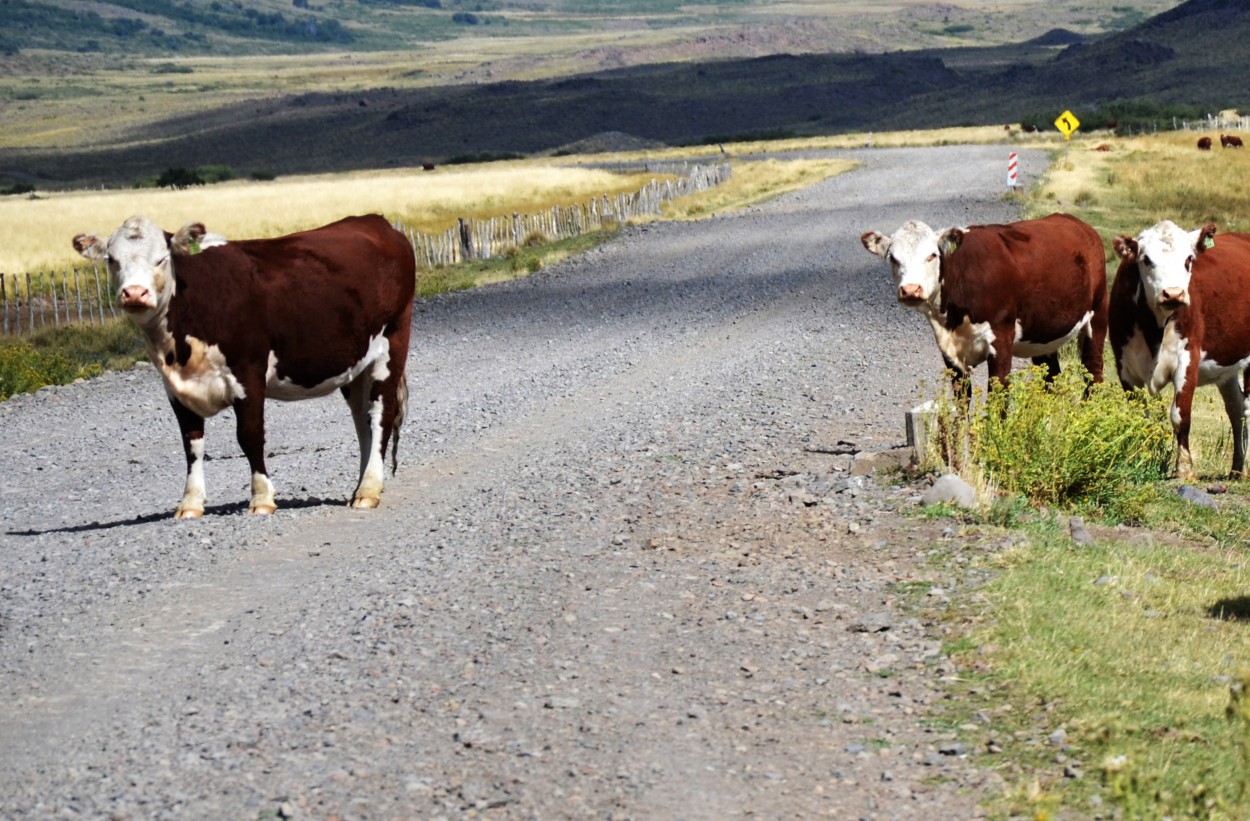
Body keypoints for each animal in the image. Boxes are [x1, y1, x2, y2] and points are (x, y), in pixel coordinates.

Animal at [73, 212, 415, 519]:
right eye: (112, 260)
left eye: (161, 258)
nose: (134, 293)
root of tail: (376, 221)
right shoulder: (175, 388)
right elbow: (191, 444)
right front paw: (190, 503)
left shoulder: (248, 372)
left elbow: (249, 435)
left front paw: (262, 498)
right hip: (357, 365)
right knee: (362, 421)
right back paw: (362, 486)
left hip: (392, 344)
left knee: (381, 417)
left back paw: (369, 490)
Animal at [860, 212, 1115, 394]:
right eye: (893, 258)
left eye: (932, 255)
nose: (911, 289)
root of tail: (1076, 222)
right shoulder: (950, 353)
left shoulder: (1001, 340)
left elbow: (997, 402)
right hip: (1044, 333)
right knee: (1050, 380)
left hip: (1098, 315)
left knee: (1094, 373)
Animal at [1110, 221, 1250, 477]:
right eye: (1146, 259)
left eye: (1189, 259)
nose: (1173, 293)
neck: (1153, 328)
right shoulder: (1123, 366)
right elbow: (1140, 417)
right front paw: (1139, 459)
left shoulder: (1187, 360)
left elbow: (1180, 415)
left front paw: (1184, 468)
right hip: (1227, 367)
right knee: (1236, 409)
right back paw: (1236, 469)